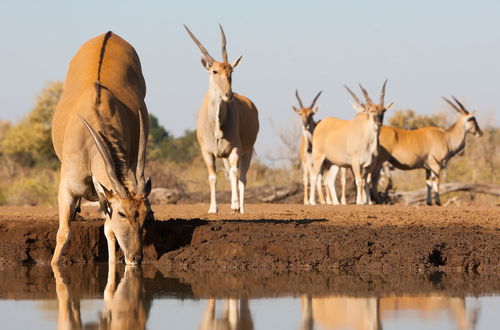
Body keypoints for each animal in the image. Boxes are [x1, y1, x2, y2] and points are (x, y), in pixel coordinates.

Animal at [51, 31, 153, 266]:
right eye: (122, 214)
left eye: (145, 216)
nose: (136, 257)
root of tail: (109, 33)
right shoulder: (67, 188)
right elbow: (63, 232)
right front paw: (53, 264)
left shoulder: (105, 196)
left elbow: (109, 232)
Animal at [186, 24, 260, 213]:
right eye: (214, 71)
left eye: (231, 70)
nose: (229, 95)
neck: (217, 127)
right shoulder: (207, 152)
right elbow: (213, 177)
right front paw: (213, 208)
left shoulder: (235, 149)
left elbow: (235, 174)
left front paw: (234, 204)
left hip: (247, 152)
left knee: (241, 178)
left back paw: (241, 208)